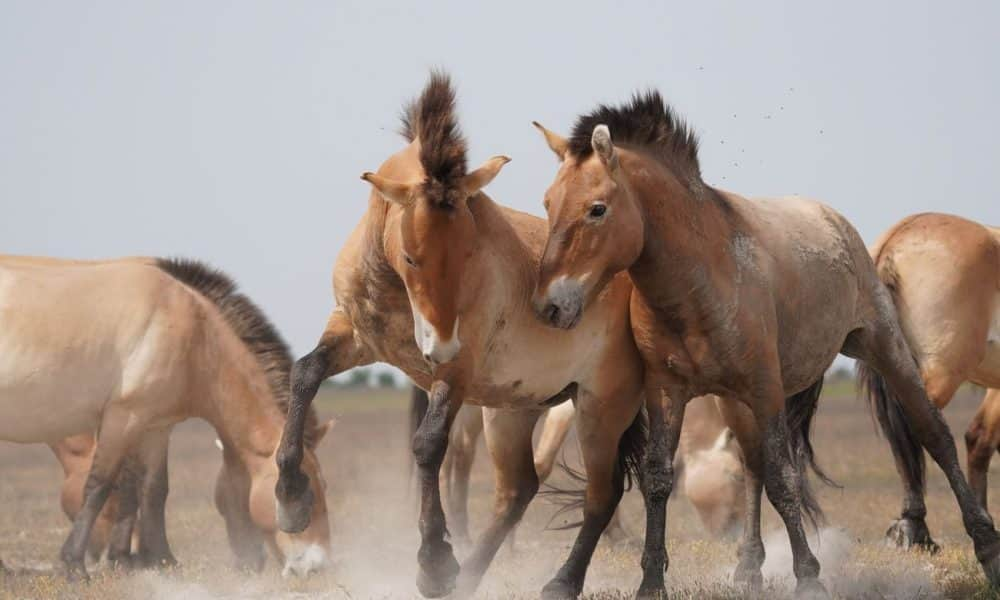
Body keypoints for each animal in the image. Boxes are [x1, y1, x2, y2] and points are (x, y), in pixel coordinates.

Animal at [0, 255, 332, 580]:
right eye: (306, 491)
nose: (317, 566)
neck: (193, 334)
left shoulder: (155, 428)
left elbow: (153, 490)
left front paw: (157, 561)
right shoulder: (123, 419)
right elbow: (99, 486)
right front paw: (75, 565)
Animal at [276, 75, 648, 600]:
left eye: (470, 250)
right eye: (411, 257)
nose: (440, 345)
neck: (394, 288)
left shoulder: (455, 373)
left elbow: (428, 445)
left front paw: (433, 563)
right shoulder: (353, 335)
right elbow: (305, 374)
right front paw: (291, 498)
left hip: (600, 407)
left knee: (602, 492)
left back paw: (555, 581)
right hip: (514, 408)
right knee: (518, 490)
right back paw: (471, 574)